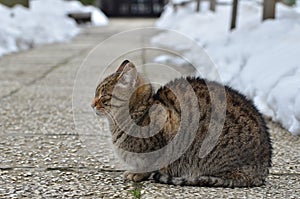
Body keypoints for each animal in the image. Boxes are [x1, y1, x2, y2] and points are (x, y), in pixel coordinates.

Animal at [91, 59, 272, 187]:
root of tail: (262, 170)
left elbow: (150, 164)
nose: (92, 104)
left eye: (104, 96)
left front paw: (137, 174)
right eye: (95, 93)